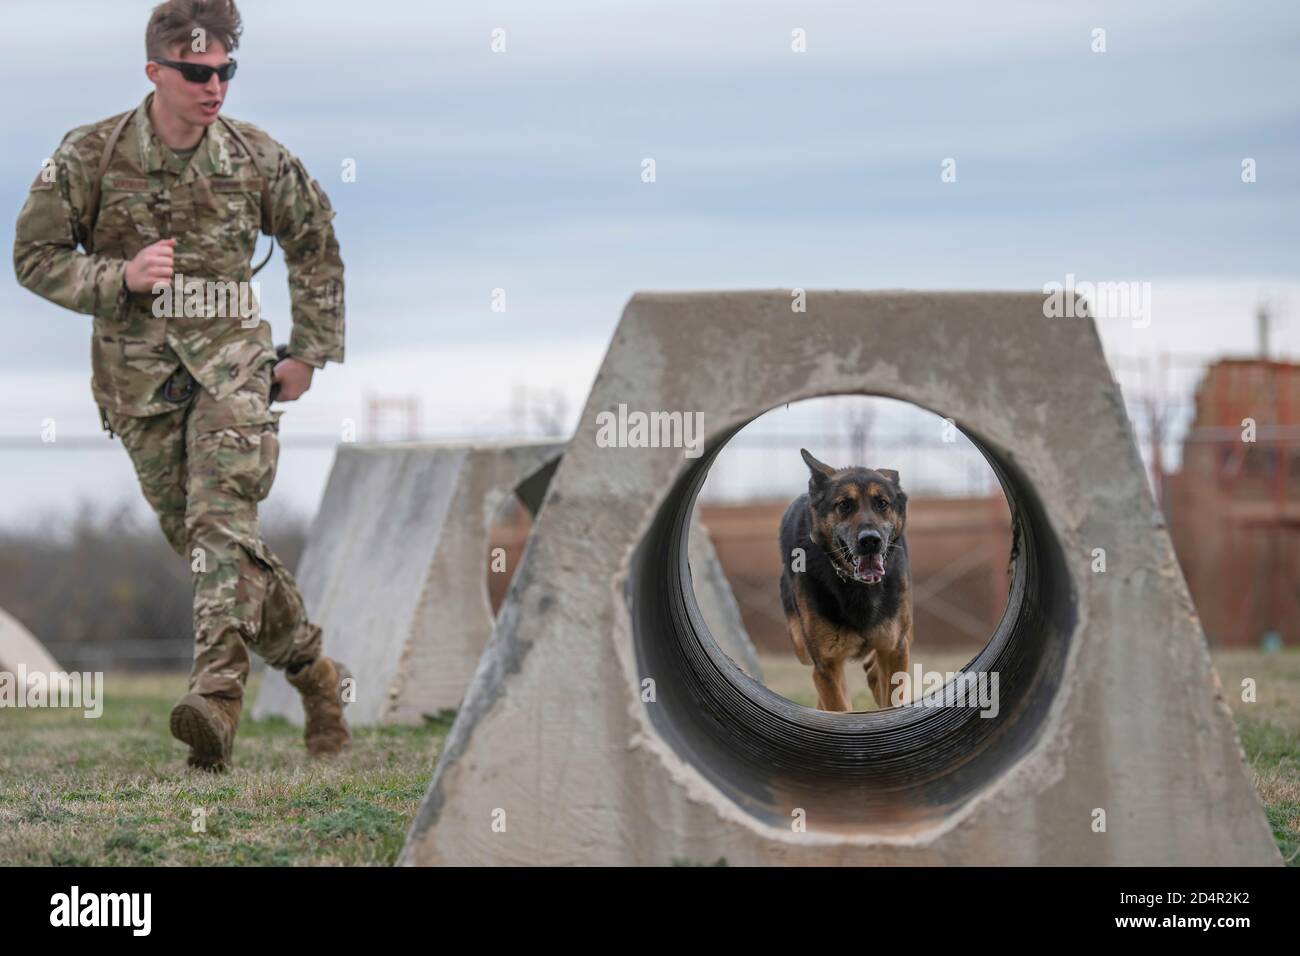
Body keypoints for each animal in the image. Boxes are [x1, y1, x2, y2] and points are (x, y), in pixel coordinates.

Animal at [780, 447, 915, 712]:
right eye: (844, 505)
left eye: (882, 503)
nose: (870, 540)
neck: (857, 585)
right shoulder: (827, 665)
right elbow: (837, 706)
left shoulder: (895, 649)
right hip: (801, 644)